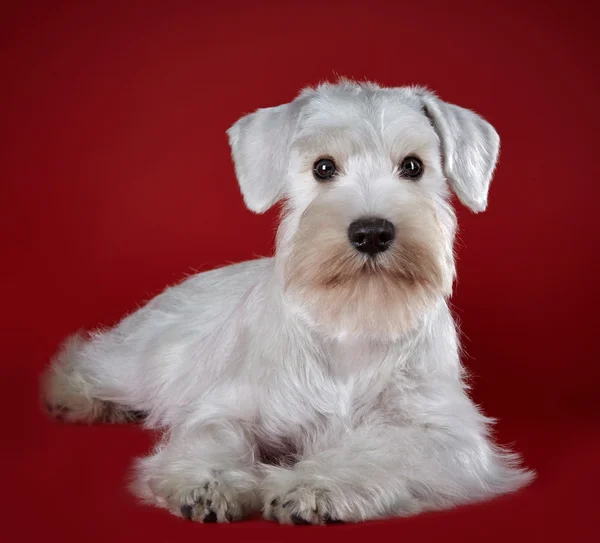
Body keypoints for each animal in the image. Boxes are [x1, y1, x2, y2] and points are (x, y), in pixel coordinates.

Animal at [43, 78, 536, 524]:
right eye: (323, 168)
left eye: (413, 166)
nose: (372, 232)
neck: (353, 323)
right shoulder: (231, 405)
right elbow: (214, 435)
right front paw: (208, 483)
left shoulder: (445, 436)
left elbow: (381, 451)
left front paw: (314, 487)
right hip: (135, 362)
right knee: (88, 359)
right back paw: (77, 399)